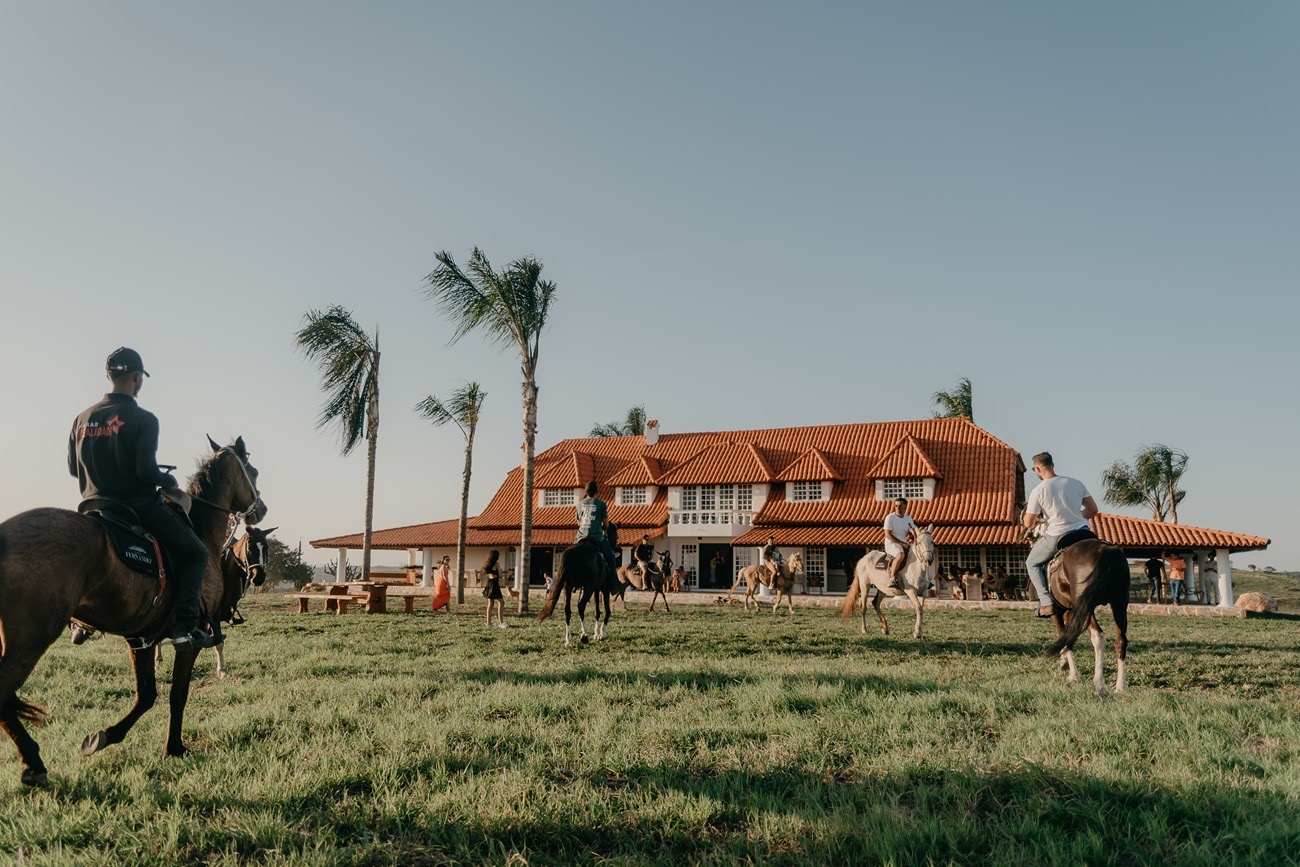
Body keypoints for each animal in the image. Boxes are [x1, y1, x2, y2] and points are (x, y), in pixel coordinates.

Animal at [0, 436, 266, 785]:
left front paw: (103, 737)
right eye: (253, 471)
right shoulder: (191, 638)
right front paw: (175, 747)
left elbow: (146, 695)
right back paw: (33, 762)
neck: (201, 534)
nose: (260, 509)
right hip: (29, 641)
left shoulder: (142, 639)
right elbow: (177, 693)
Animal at [1040, 535, 1133, 696]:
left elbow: (1064, 636)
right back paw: (1120, 686)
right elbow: (1068, 636)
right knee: (1120, 640)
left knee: (1098, 637)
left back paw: (1099, 686)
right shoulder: (1071, 612)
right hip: (1119, 602)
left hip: (1086, 606)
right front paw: (1064, 662)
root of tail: (1107, 550)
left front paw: (1072, 673)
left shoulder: (1057, 612)